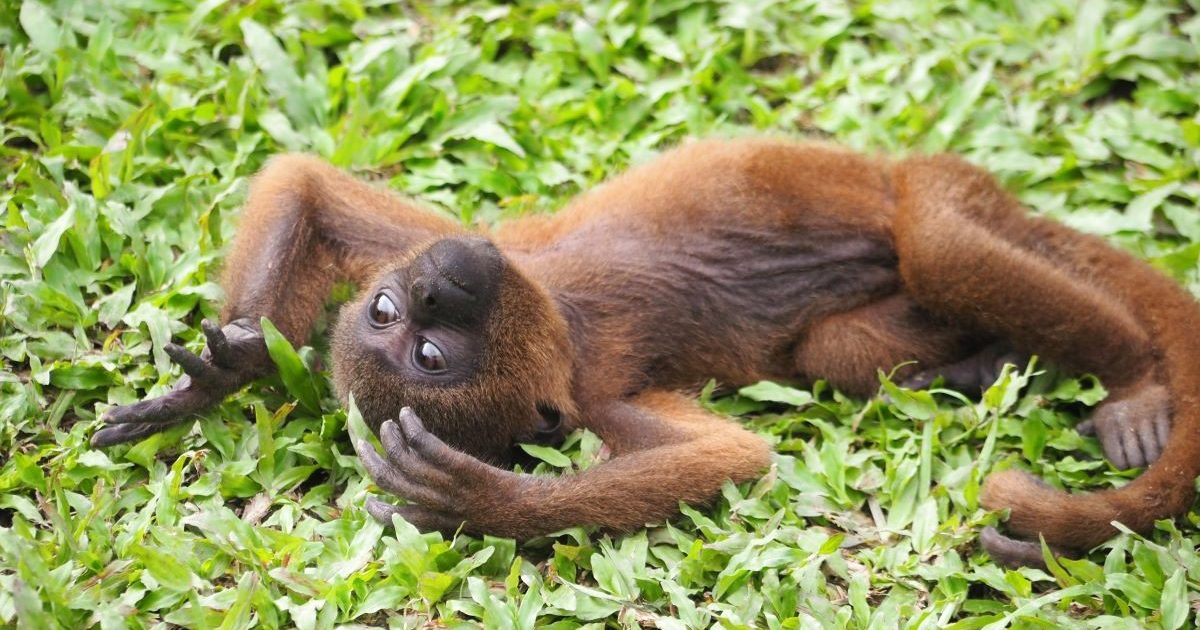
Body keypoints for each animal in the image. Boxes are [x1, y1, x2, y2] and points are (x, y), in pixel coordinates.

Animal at [92, 138, 1200, 568]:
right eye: (426, 353)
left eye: (401, 318)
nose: (441, 282)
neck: (554, 312)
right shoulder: (590, 396)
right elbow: (731, 458)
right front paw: (493, 505)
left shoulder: (480, 245)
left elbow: (306, 184)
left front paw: (225, 370)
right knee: (852, 339)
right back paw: (993, 369)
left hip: (938, 186)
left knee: (942, 246)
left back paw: (1135, 382)